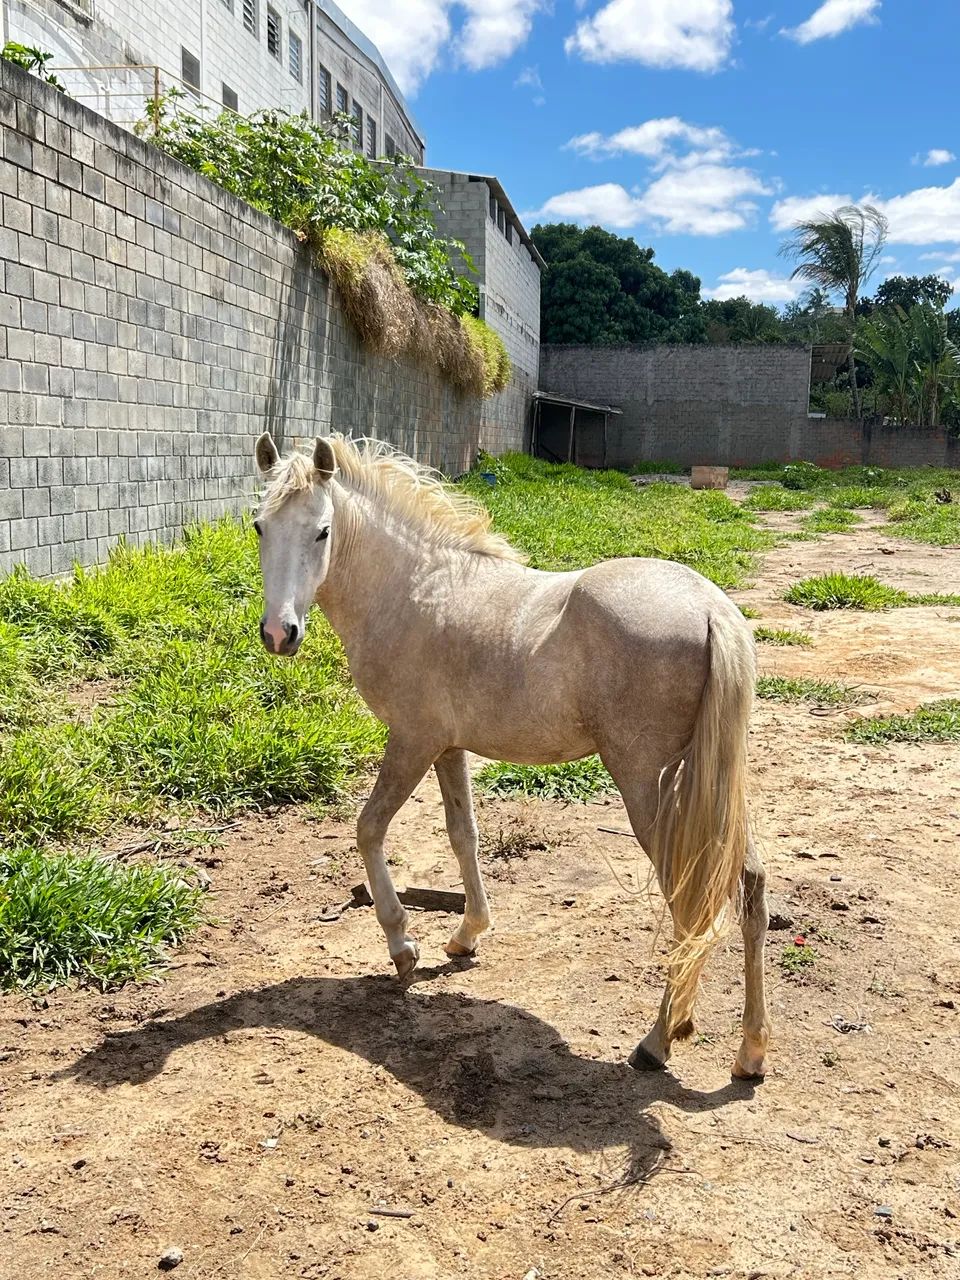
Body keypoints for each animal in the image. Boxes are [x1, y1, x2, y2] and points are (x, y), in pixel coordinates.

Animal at [252, 433, 771, 1080]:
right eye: (259, 527)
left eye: (322, 531)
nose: (279, 634)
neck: (413, 589)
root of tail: (711, 611)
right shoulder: (449, 747)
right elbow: (463, 835)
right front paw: (466, 935)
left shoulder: (412, 740)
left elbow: (369, 829)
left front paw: (403, 947)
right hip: (706, 785)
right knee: (749, 890)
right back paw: (749, 1052)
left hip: (647, 784)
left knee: (687, 903)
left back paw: (657, 1041)